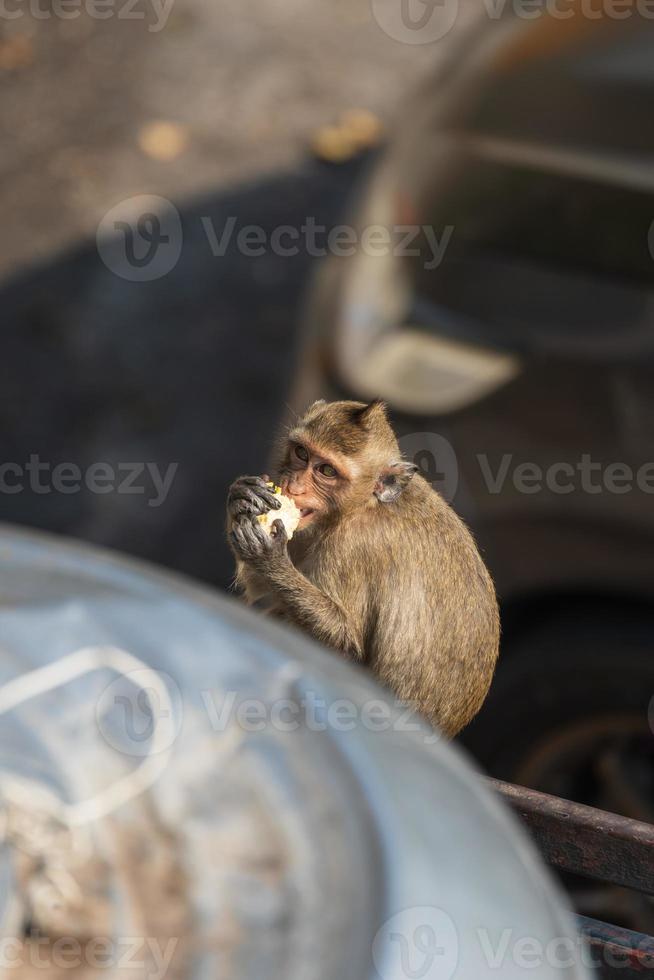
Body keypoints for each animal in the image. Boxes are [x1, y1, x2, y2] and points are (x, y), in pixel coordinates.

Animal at [227, 398, 502, 736]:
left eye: (326, 470)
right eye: (301, 453)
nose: (293, 485)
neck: (365, 505)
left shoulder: (353, 545)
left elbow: (346, 644)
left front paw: (268, 558)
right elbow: (262, 591)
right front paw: (242, 496)